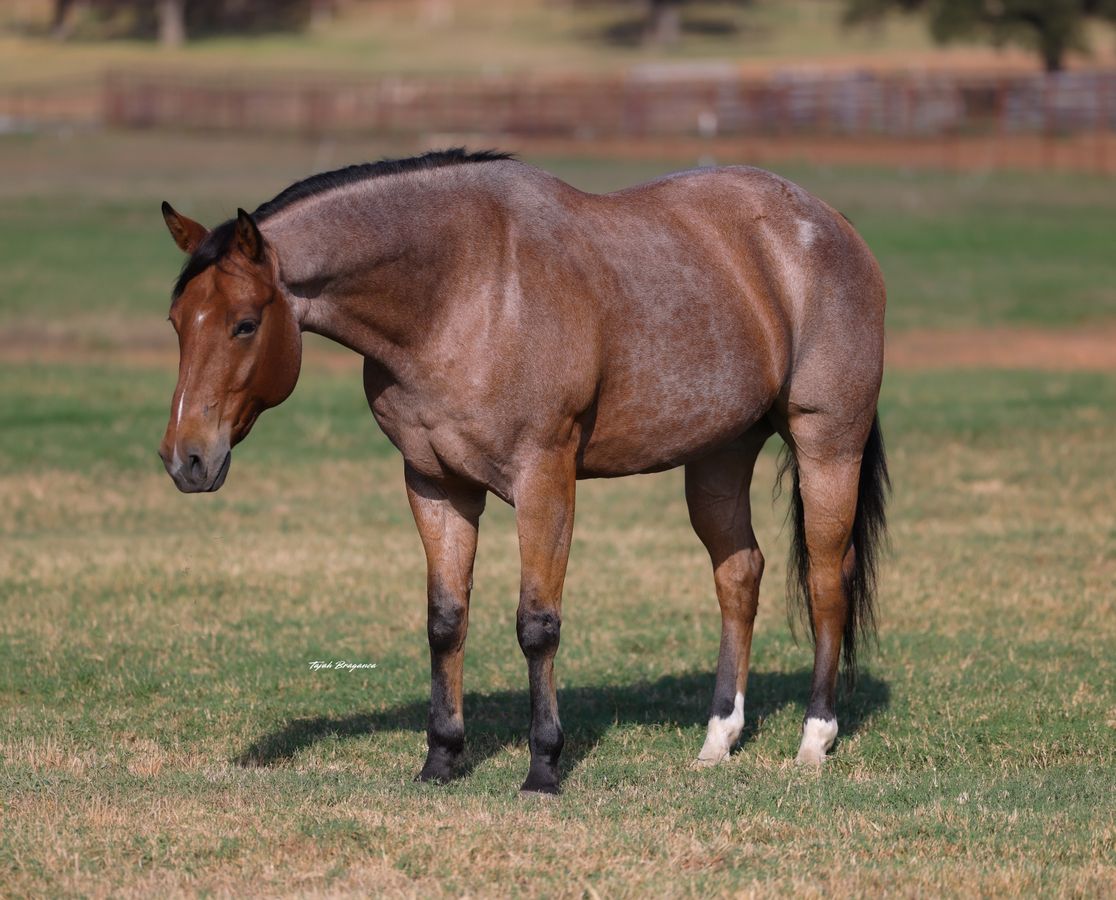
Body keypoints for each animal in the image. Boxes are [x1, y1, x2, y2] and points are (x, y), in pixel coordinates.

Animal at [158, 149, 889, 795]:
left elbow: (537, 624)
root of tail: (830, 224)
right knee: (739, 576)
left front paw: (543, 768)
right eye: (176, 322)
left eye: (244, 324)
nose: (186, 459)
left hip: (827, 445)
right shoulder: (436, 484)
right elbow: (446, 620)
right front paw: (441, 759)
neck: (462, 291)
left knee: (827, 581)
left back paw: (814, 739)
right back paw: (718, 739)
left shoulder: (544, 479)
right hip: (720, 455)